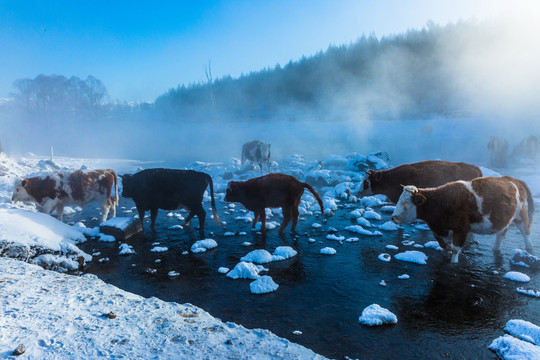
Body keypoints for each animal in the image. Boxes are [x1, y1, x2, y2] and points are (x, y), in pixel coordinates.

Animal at [392, 176, 536, 262]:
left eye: (405, 204)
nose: (393, 217)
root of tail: (511, 179)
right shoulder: (440, 231)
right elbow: (444, 246)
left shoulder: (461, 230)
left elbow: (455, 249)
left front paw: (453, 263)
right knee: (501, 234)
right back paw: (496, 249)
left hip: (521, 215)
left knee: (527, 232)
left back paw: (529, 249)